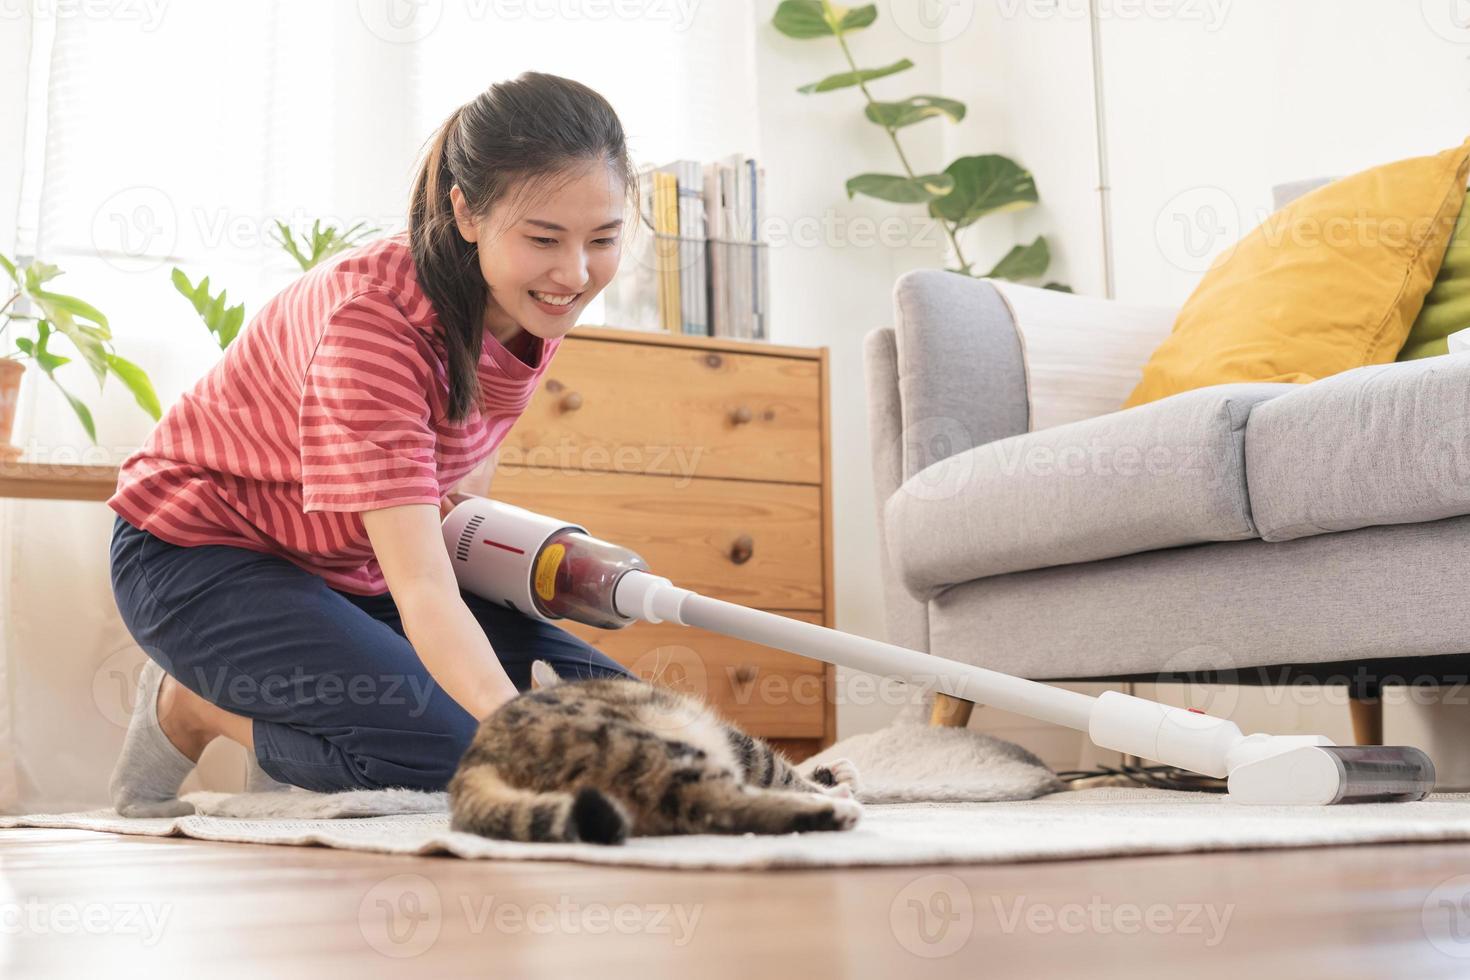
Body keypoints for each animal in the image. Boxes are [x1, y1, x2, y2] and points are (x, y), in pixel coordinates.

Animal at [446, 664, 858, 846]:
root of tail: (477, 760)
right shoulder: (739, 743)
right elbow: (779, 768)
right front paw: (830, 784)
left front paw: (833, 771)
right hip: (646, 745)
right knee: (717, 803)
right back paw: (836, 809)